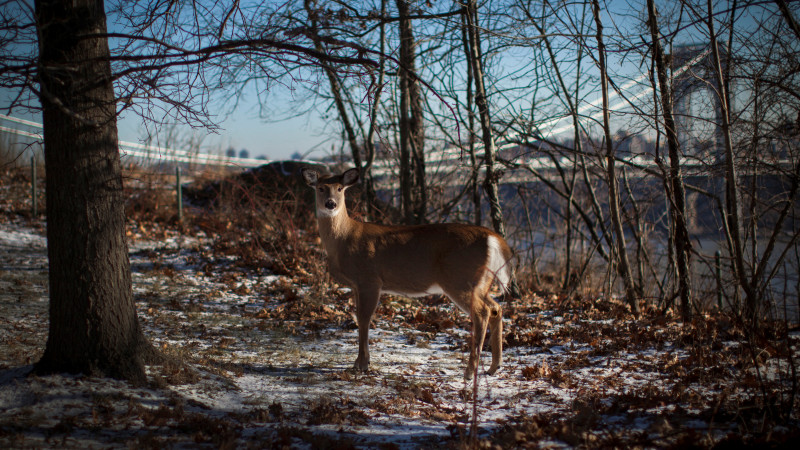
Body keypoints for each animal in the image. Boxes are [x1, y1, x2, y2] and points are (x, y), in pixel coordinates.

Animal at [300, 167, 512, 378]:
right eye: (320, 188)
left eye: (340, 188)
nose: (330, 203)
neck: (344, 239)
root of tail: (493, 238)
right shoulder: (356, 285)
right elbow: (359, 317)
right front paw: (359, 363)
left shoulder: (369, 279)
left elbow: (364, 319)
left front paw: (362, 364)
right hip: (481, 282)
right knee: (496, 308)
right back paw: (495, 366)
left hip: (460, 279)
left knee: (482, 313)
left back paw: (469, 372)